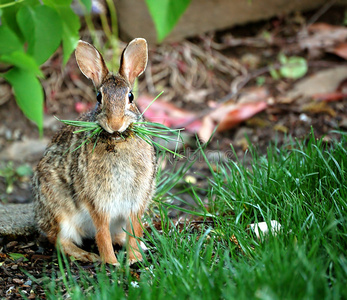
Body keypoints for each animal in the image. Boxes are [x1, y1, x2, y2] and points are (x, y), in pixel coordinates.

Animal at [32, 37, 157, 264]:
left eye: (131, 96)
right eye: (99, 97)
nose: (115, 124)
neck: (116, 141)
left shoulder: (137, 199)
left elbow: (134, 228)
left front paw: (134, 259)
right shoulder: (98, 202)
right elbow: (102, 232)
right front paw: (111, 262)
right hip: (59, 212)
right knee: (59, 240)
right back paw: (88, 256)